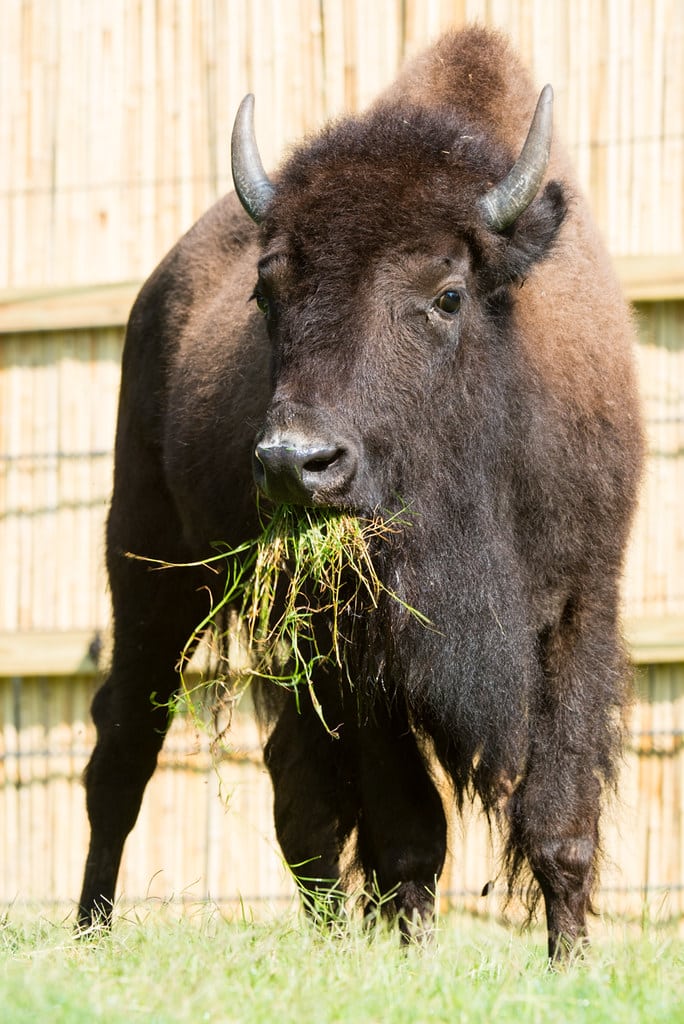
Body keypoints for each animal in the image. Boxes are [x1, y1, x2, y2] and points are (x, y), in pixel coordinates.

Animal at [77, 27, 644, 959]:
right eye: (267, 291)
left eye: (445, 295)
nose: (293, 461)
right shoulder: (360, 645)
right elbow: (408, 832)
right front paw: (413, 955)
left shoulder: (579, 608)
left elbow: (560, 823)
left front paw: (570, 964)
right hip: (149, 564)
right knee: (125, 748)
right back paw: (89, 932)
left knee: (291, 785)